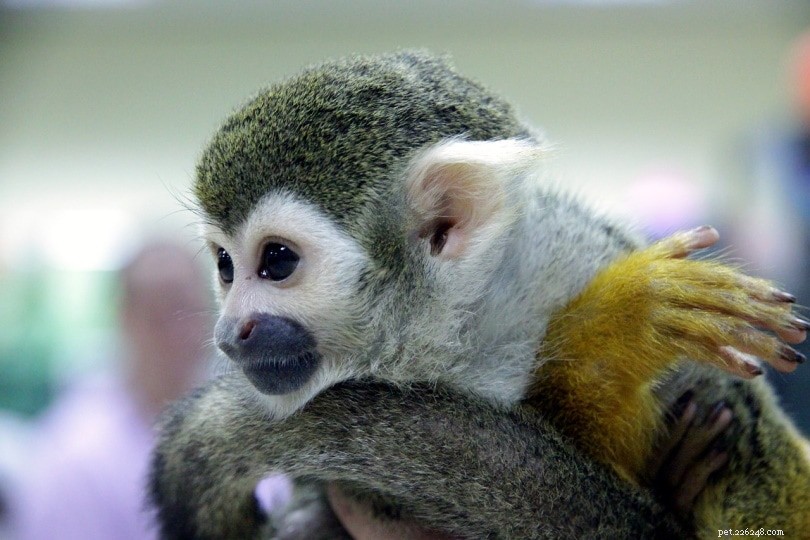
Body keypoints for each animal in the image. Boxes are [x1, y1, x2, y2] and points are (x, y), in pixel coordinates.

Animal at [149, 51, 810, 538]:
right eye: (226, 266)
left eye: (277, 262)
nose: (228, 333)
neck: (469, 333)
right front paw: (620, 326)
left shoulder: (576, 251)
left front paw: (617, 328)